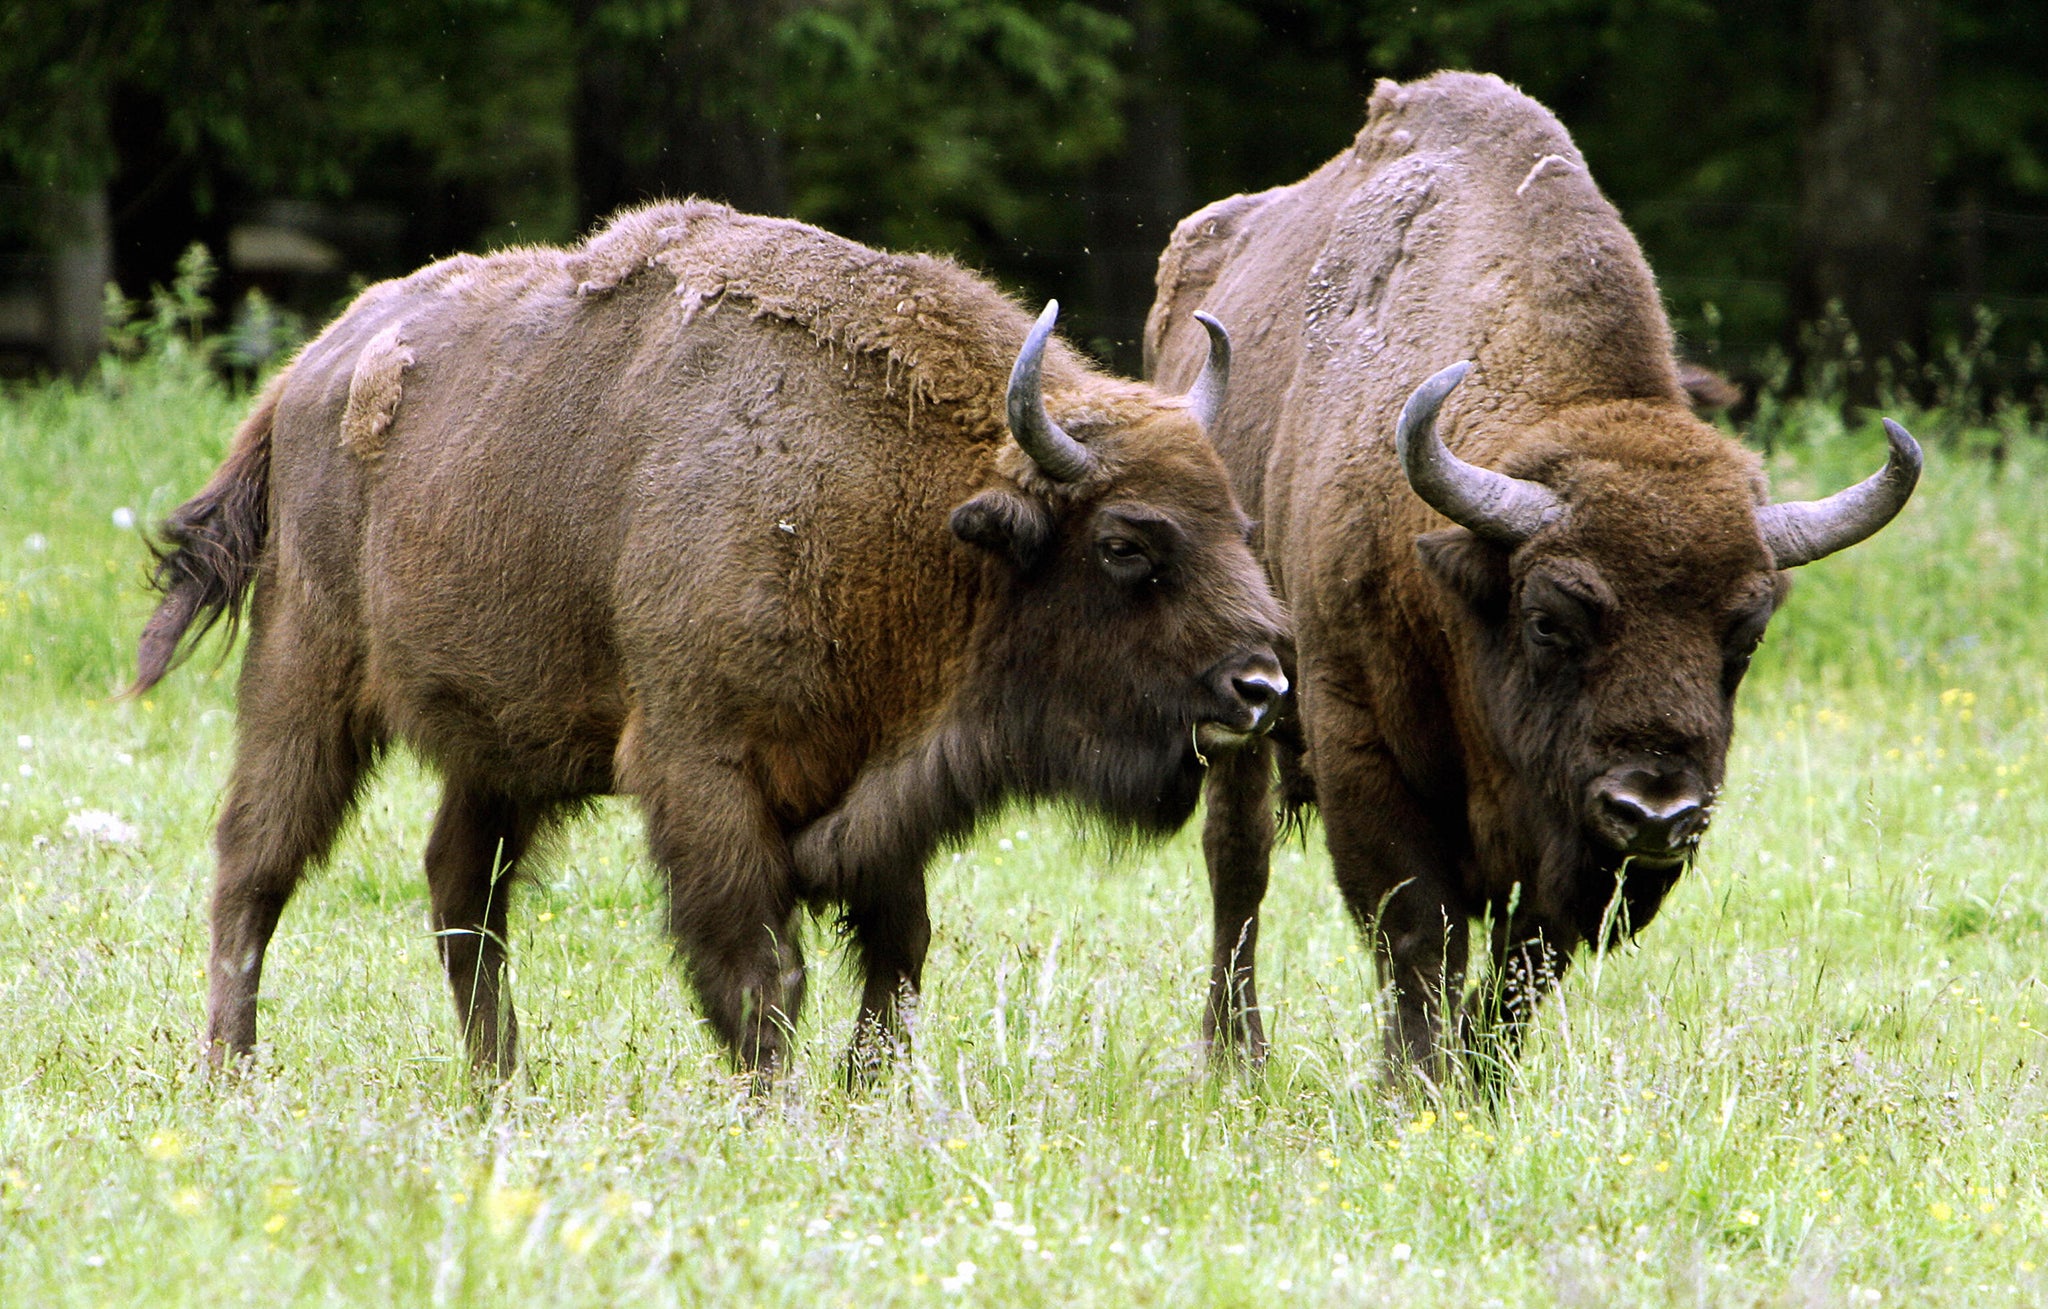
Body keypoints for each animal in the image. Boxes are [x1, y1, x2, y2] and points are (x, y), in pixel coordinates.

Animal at [144, 202, 1286, 1081]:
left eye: (1238, 522)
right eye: (1126, 543)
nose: (1261, 685)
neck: (910, 508)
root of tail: (302, 375)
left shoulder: (881, 795)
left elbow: (897, 954)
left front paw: (865, 1094)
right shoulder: (704, 770)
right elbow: (762, 973)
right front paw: (779, 1104)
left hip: (498, 744)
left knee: (460, 888)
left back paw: (499, 1083)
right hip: (306, 678)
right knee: (256, 864)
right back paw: (231, 1072)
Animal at [1155, 76, 1916, 1089]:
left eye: (1745, 633)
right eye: (1552, 618)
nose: (1655, 808)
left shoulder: (1570, 853)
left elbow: (1527, 960)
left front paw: (1482, 1082)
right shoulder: (1360, 740)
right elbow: (1419, 932)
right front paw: (1414, 1082)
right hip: (1239, 703)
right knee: (1237, 860)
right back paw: (1235, 1055)